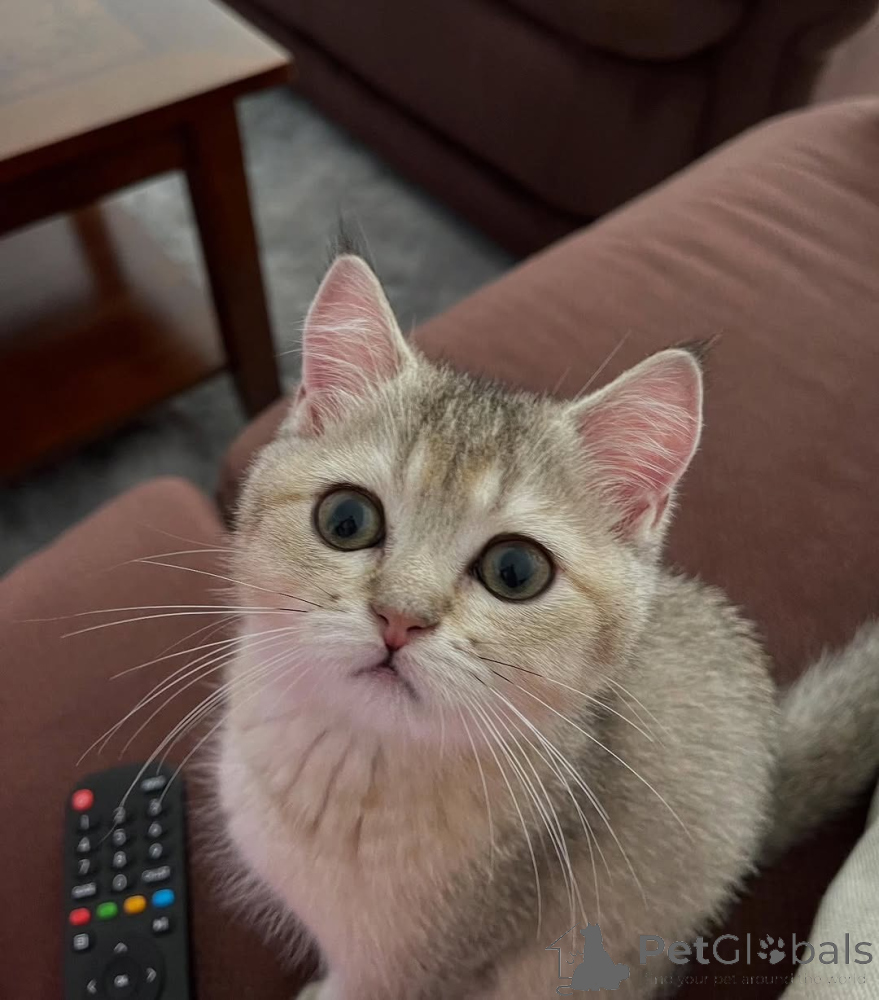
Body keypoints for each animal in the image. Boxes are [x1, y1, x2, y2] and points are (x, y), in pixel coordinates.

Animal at [216, 251, 879, 999]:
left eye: (515, 571)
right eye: (346, 520)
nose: (399, 618)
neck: (355, 765)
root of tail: (768, 773)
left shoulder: (425, 969)